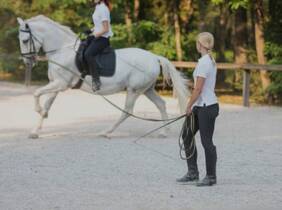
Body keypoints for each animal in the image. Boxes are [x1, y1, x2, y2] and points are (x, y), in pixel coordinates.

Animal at [17, 15, 189, 139]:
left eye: (25, 41)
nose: (27, 61)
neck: (61, 50)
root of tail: (154, 57)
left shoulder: (61, 84)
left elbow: (36, 93)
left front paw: (38, 110)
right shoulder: (56, 84)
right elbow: (47, 105)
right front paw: (35, 130)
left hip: (134, 90)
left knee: (127, 111)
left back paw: (106, 132)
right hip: (147, 89)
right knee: (161, 104)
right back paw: (164, 132)